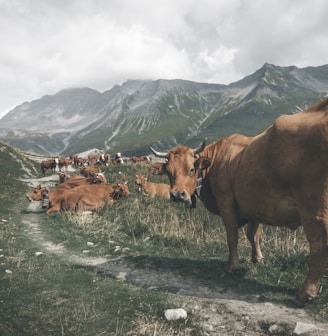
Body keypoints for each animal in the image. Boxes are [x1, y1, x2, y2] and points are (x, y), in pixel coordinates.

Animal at [151, 98, 328, 304]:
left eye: (191, 169)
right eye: (169, 172)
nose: (177, 195)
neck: (216, 160)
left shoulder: (226, 203)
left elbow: (232, 237)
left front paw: (231, 267)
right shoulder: (255, 205)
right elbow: (253, 235)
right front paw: (257, 258)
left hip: (313, 210)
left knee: (318, 245)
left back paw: (305, 293)